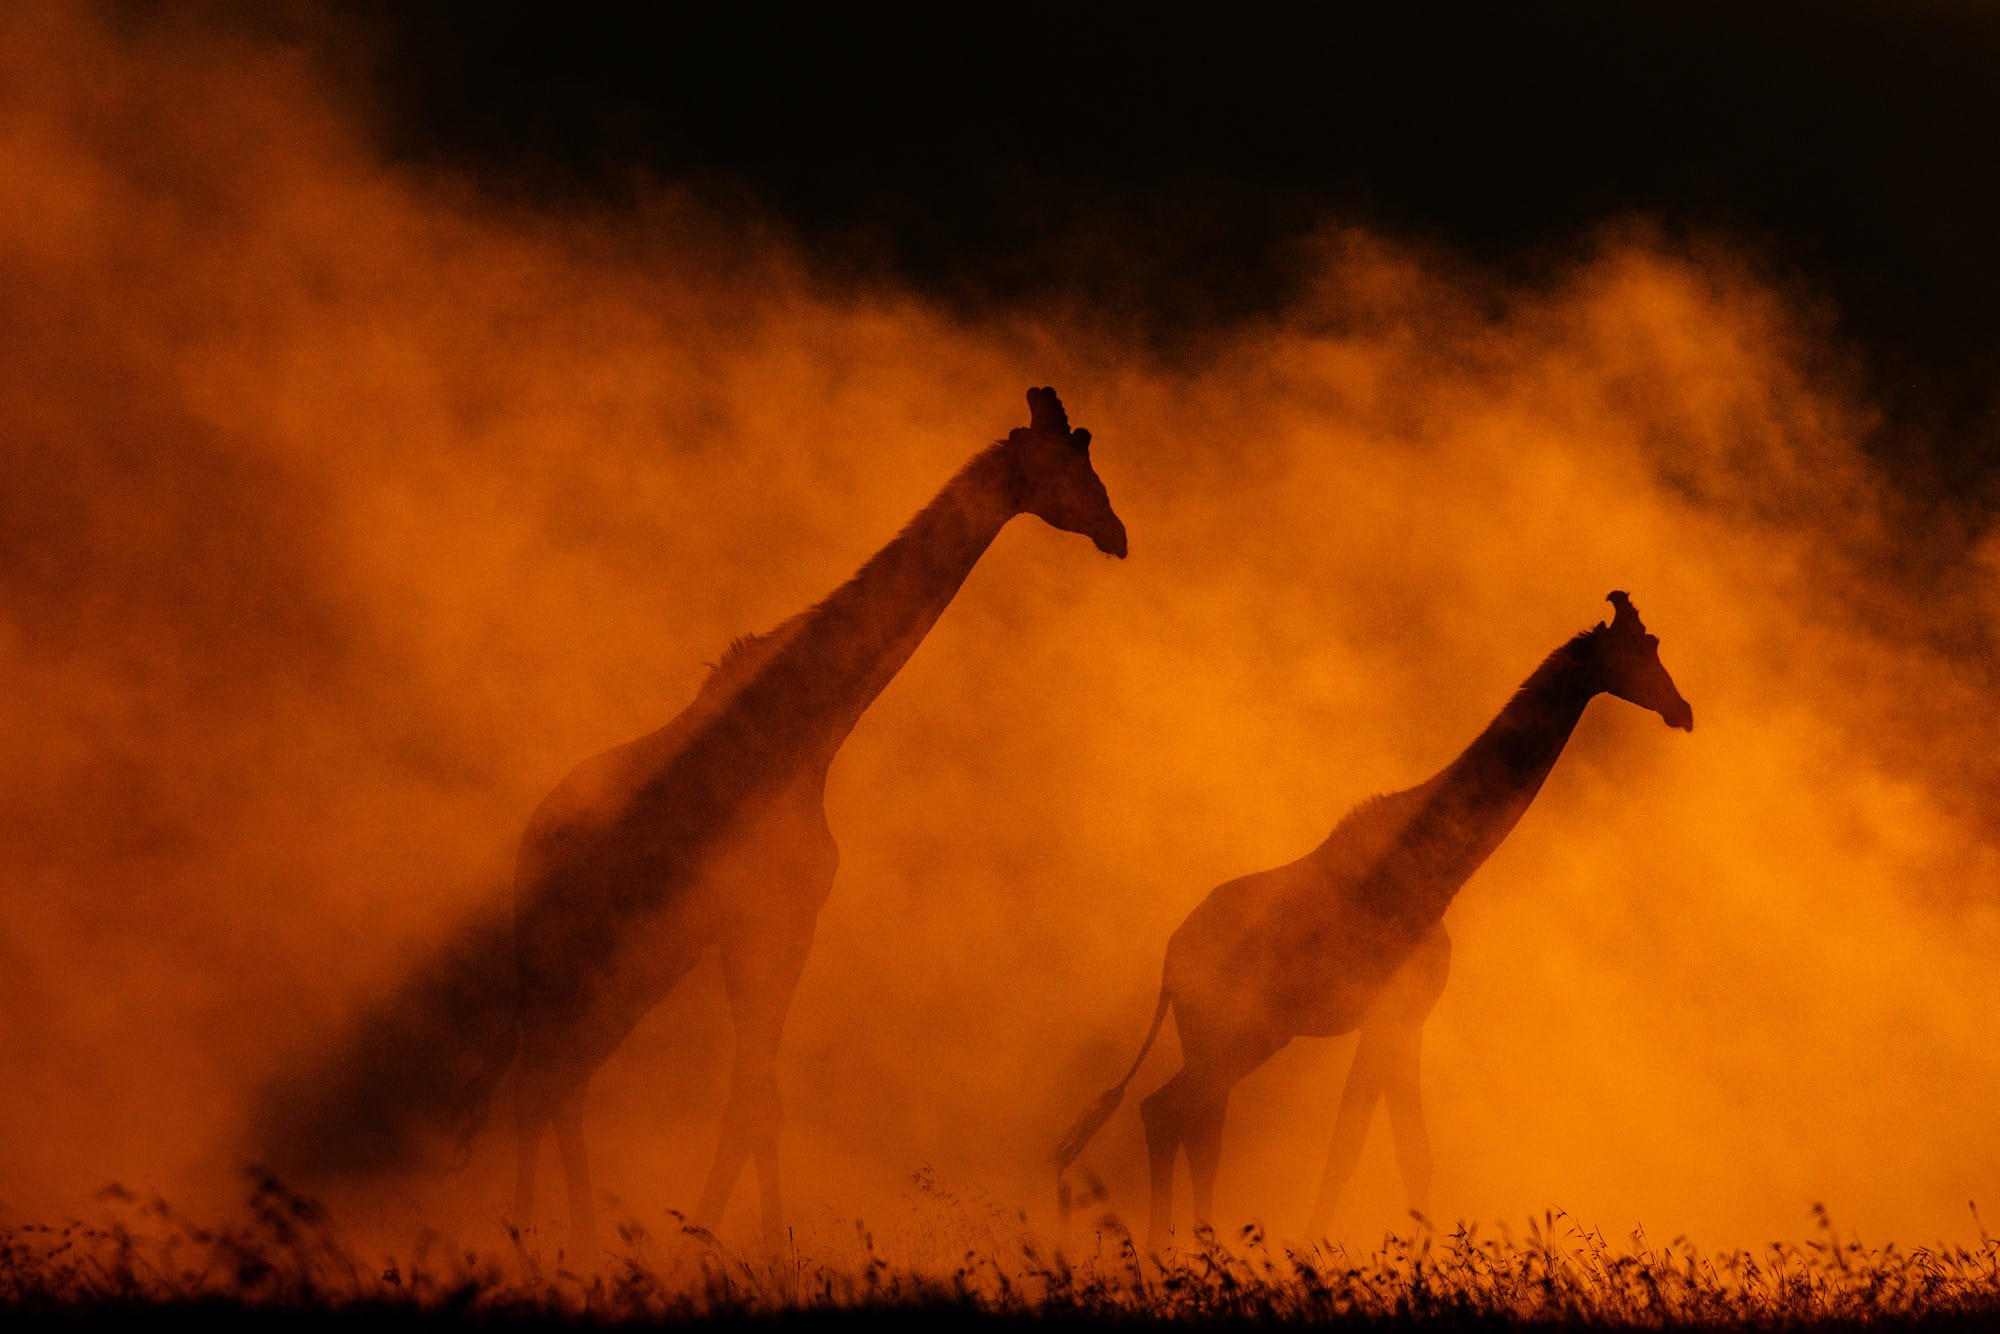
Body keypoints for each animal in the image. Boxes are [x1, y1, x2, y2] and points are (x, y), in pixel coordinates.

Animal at [503, 388, 1125, 1259]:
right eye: (1071, 464)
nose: (1118, 533)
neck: (812, 732)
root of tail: (528, 843)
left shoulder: (760, 926)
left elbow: (755, 1099)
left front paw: (734, 1245)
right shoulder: (775, 919)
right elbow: (756, 1102)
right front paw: (739, 1251)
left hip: (630, 966)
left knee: (562, 1081)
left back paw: (573, 1245)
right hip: (583, 959)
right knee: (543, 1081)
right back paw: (539, 1241)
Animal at [1051, 592, 1691, 1251]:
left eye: (1654, 644)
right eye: (1637, 650)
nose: (1683, 710)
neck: (1441, 871)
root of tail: (1170, 961)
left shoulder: (1404, 1020)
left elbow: (1407, 1154)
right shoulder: (1392, 1013)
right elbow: (1357, 1149)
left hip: (1224, 1035)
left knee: (1192, 1122)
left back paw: (1197, 1247)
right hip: (1241, 1031)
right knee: (1170, 1113)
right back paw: (1168, 1253)